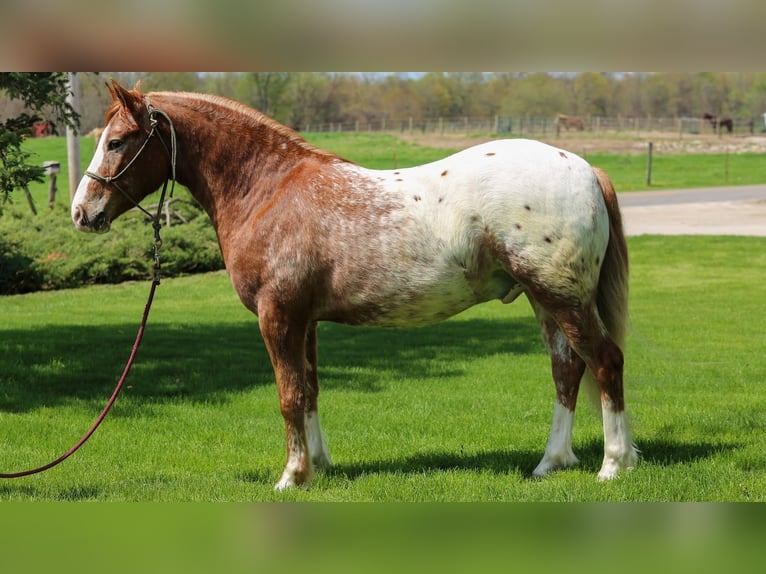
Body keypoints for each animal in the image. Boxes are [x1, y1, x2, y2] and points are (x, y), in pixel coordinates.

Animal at [72, 80, 638, 490]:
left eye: (117, 141)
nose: (81, 213)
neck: (269, 189)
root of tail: (587, 167)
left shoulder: (278, 316)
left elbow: (288, 395)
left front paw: (291, 477)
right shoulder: (304, 320)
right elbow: (310, 389)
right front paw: (318, 466)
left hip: (562, 298)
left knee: (605, 362)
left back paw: (613, 465)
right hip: (546, 301)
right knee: (567, 371)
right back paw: (551, 463)